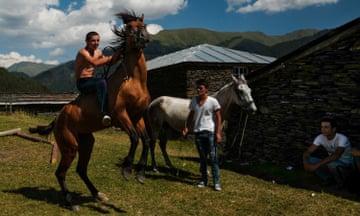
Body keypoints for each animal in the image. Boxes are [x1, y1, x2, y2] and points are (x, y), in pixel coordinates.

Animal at [29, 11, 150, 210]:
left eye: (144, 25)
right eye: (130, 27)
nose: (144, 38)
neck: (133, 80)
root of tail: (58, 117)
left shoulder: (137, 117)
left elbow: (146, 140)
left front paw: (140, 174)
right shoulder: (121, 116)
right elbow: (134, 138)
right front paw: (126, 170)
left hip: (87, 143)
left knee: (81, 170)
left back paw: (98, 194)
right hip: (70, 147)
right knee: (60, 173)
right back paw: (71, 202)